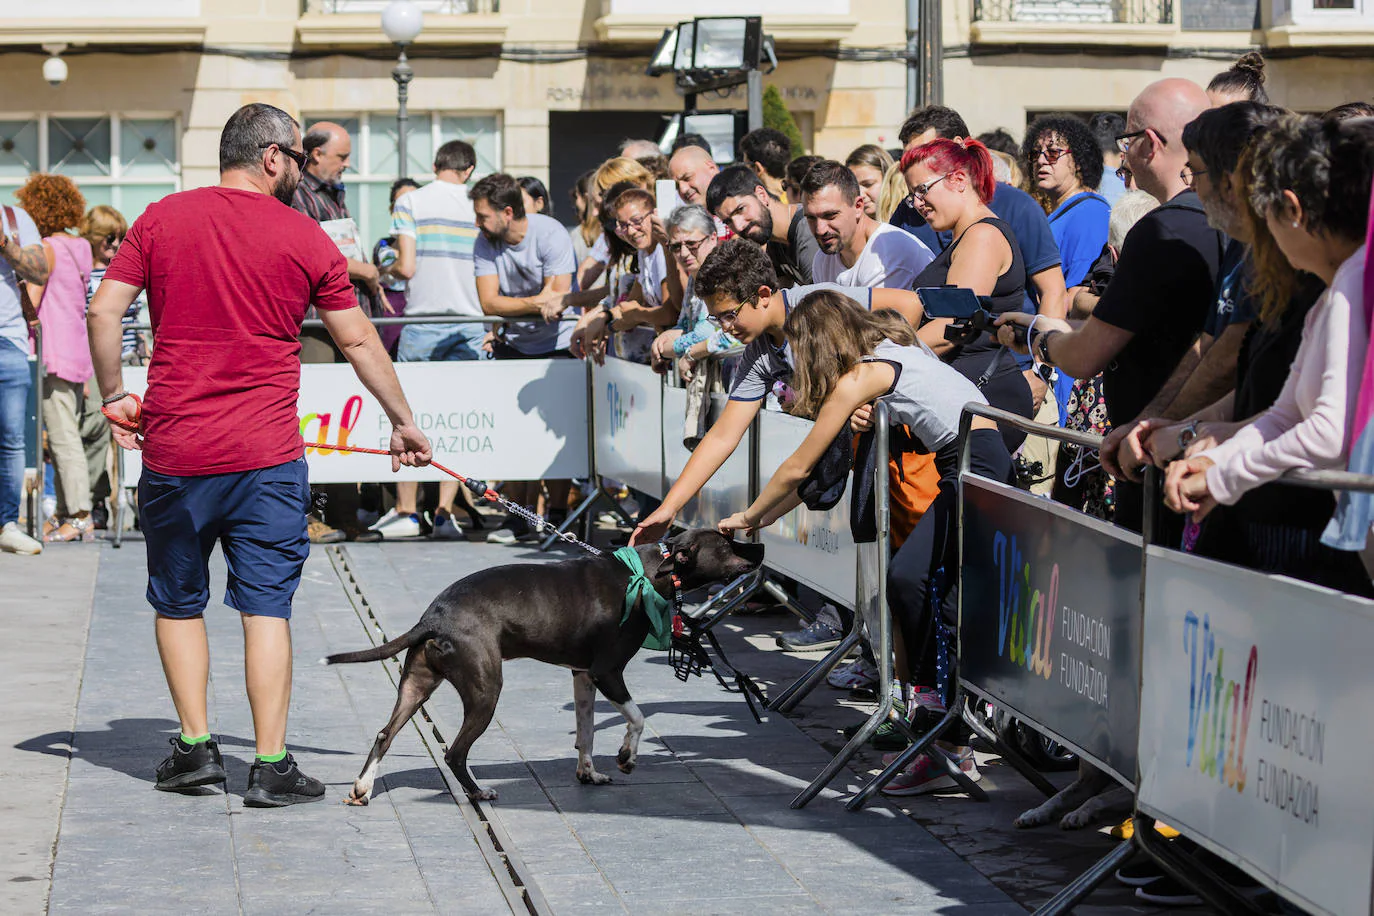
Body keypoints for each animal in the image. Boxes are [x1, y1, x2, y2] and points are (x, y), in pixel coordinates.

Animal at [328, 530, 769, 802]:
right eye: (726, 543)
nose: (761, 548)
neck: (647, 573)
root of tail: (433, 617)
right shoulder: (607, 671)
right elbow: (638, 718)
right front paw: (627, 757)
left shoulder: (583, 674)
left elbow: (586, 732)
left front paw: (589, 774)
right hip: (485, 690)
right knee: (454, 753)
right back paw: (478, 793)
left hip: (417, 684)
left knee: (385, 734)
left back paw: (362, 788)